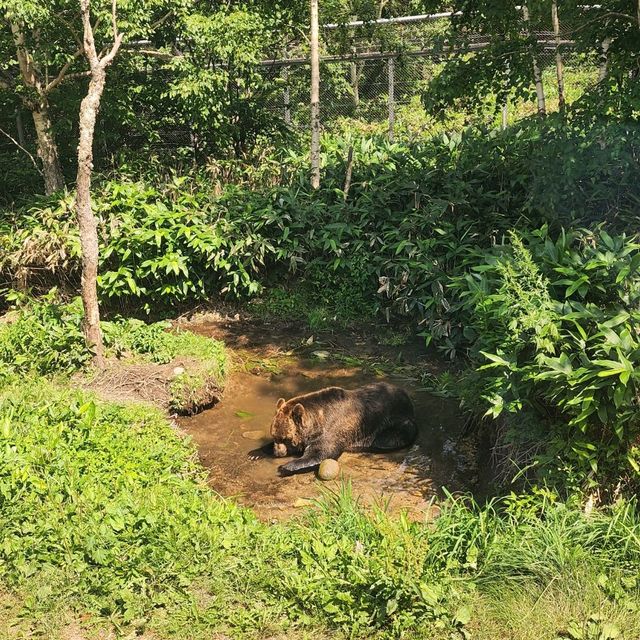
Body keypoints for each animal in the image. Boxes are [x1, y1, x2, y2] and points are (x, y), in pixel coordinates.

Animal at [252, 380, 418, 476]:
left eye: (286, 438)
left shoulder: (332, 430)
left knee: (388, 439)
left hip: (396, 422)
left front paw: (286, 467)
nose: (278, 452)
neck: (317, 421)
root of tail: (407, 396)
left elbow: (322, 452)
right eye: (274, 435)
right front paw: (256, 452)